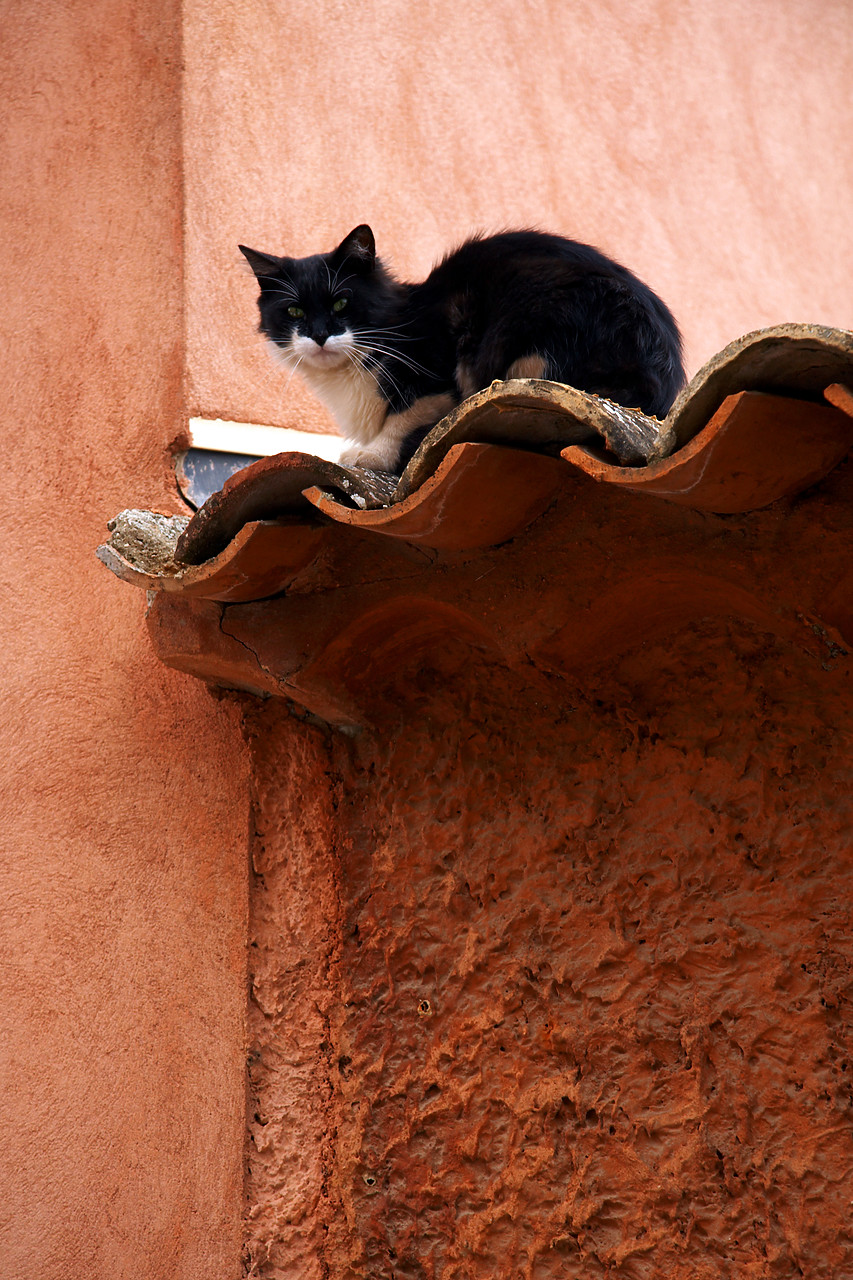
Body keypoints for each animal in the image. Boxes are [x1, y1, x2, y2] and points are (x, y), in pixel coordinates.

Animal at [239, 226, 686, 476]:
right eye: (294, 311)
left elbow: (400, 421)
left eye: (341, 303)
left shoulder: (433, 377)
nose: (318, 335)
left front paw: (370, 456)